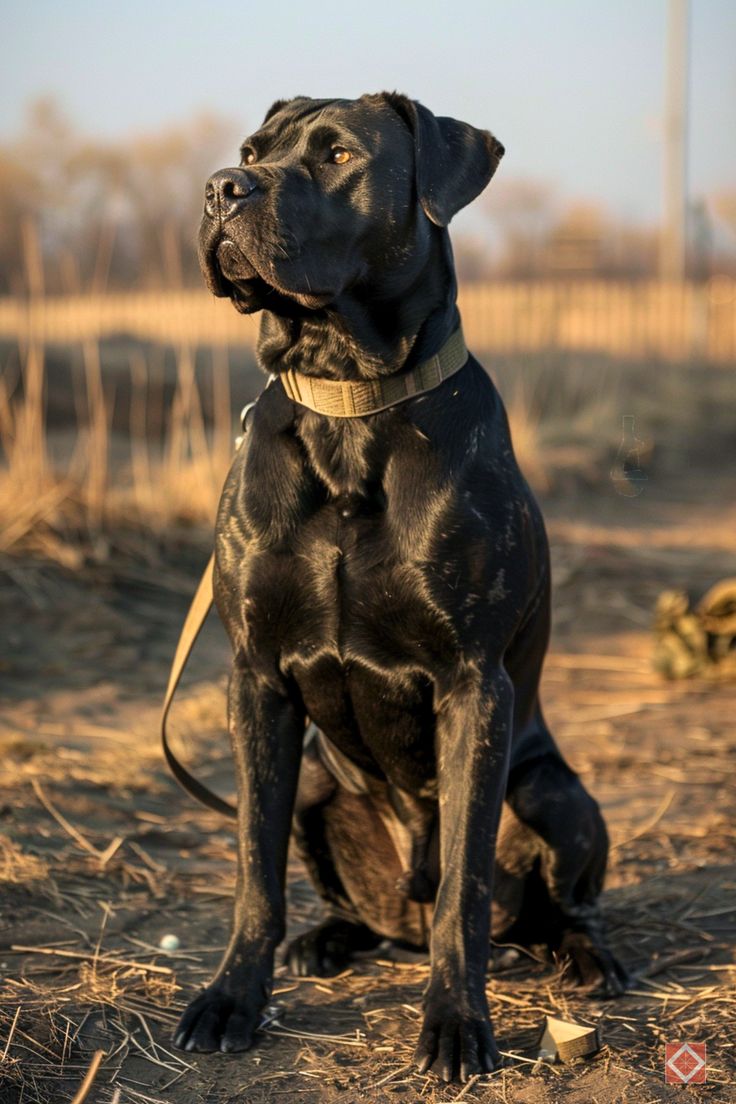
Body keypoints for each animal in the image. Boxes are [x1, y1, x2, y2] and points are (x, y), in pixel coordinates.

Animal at [174, 92, 626, 1077]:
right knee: (351, 898)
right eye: (251, 153)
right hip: (316, 779)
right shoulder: (255, 679)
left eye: (339, 154)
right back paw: (327, 941)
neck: (348, 399)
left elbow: (465, 882)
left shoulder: (473, 684)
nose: (220, 188)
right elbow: (254, 867)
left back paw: (586, 959)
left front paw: (456, 1023)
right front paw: (231, 999)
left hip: (558, 797)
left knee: (543, 905)